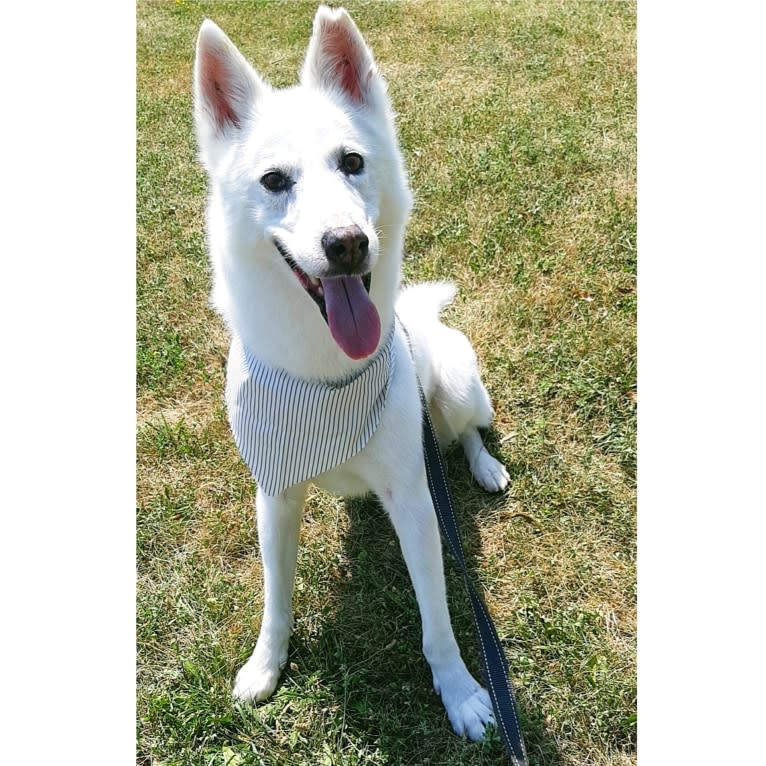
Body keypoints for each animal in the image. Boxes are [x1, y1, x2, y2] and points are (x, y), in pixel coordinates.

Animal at [195, 3, 512, 740]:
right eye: (275, 181)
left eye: (352, 163)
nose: (347, 244)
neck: (323, 374)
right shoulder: (275, 496)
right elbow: (276, 598)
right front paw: (266, 665)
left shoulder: (417, 503)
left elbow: (439, 619)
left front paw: (460, 691)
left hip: (457, 385)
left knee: (471, 429)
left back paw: (484, 465)